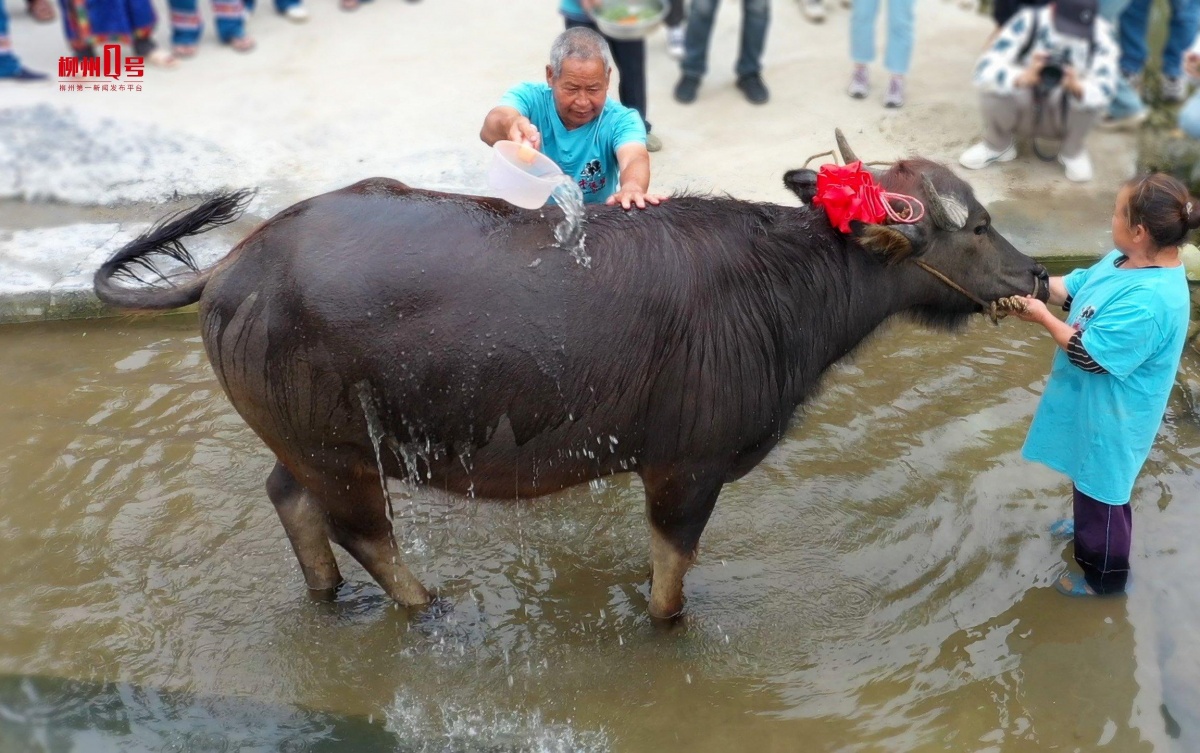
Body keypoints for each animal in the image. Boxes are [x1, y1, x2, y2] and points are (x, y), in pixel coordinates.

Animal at [93, 133, 1046, 618]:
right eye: (974, 225)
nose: (1037, 274)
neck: (775, 287)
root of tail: (235, 266)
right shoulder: (687, 469)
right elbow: (669, 587)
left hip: (309, 441)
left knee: (290, 500)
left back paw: (329, 599)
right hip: (342, 450)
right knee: (364, 533)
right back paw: (429, 605)